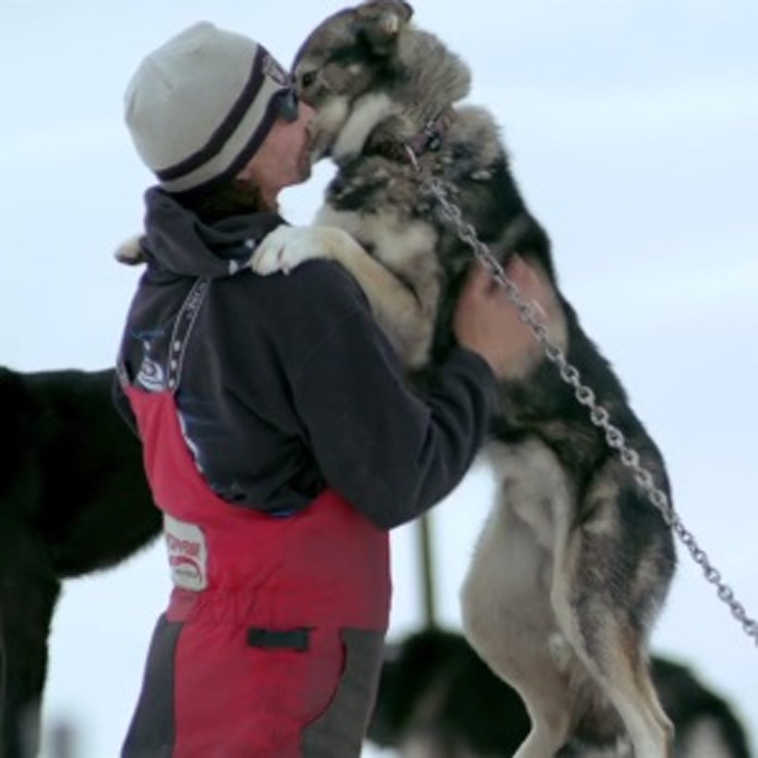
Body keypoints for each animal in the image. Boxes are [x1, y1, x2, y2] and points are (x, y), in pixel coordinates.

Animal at [252, 2, 680, 756]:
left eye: (305, 79)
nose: (287, 126)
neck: (409, 147)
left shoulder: (420, 327)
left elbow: (331, 241)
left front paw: (285, 241)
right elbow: (335, 234)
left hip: (590, 606)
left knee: (650, 723)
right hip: (491, 606)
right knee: (553, 716)